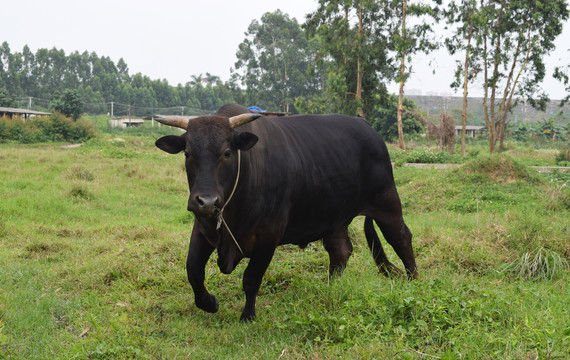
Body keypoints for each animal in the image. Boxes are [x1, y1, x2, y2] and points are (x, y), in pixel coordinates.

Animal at [153, 105, 414, 320]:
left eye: (227, 153)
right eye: (187, 153)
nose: (207, 201)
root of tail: (365, 124)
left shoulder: (268, 236)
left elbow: (251, 278)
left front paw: (247, 316)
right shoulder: (203, 229)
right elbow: (193, 270)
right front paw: (209, 303)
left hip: (387, 203)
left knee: (401, 237)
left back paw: (414, 280)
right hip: (334, 216)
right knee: (341, 251)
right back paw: (331, 288)